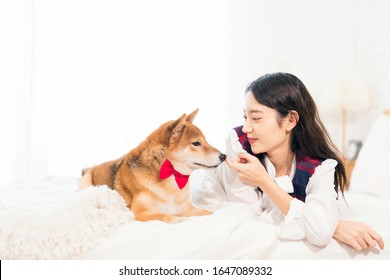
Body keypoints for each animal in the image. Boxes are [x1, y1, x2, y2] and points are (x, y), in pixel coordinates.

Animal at [79, 109, 225, 223]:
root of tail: (92, 167)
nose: (224, 156)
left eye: (206, 141)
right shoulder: (138, 213)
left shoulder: (187, 208)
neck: (172, 176)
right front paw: (178, 219)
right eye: (196, 143)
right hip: (86, 183)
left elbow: (208, 213)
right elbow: (165, 215)